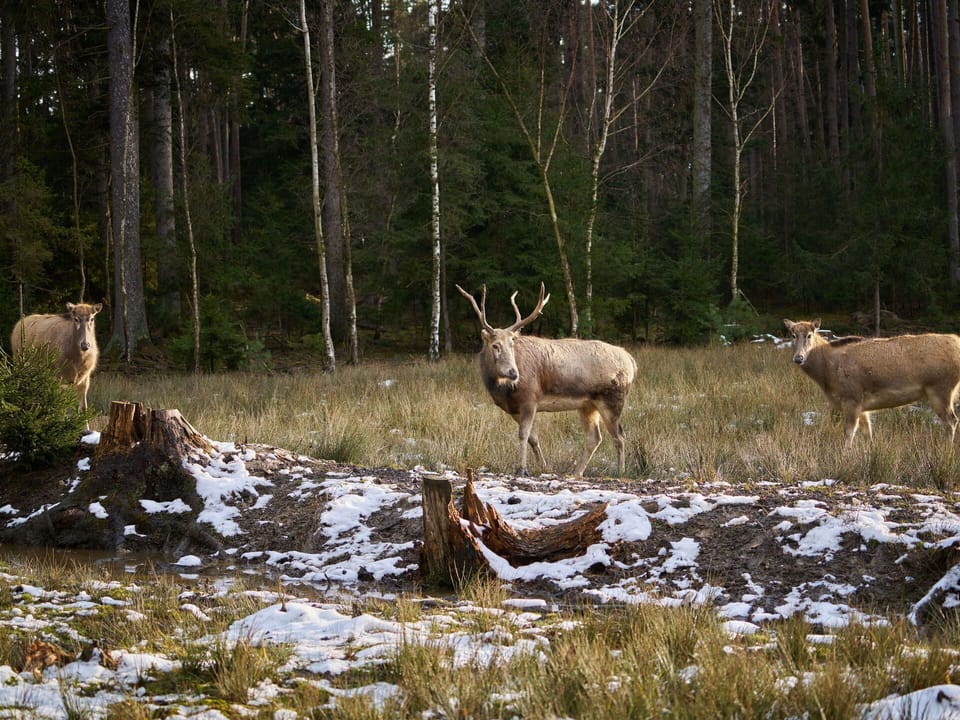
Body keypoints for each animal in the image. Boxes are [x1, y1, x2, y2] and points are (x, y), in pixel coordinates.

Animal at [457, 283, 637, 477]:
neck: (503, 390)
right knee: (594, 438)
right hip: (587, 405)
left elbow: (523, 434)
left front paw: (521, 469)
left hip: (612, 398)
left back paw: (620, 471)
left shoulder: (530, 398)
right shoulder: (514, 409)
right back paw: (576, 472)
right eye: (495, 345)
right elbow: (533, 438)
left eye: (512, 344)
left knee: (619, 436)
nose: (514, 373)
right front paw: (544, 467)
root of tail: (631, 361)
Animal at [784, 318, 960, 447]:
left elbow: (849, 433)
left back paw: (947, 449)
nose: (798, 358)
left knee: (951, 420)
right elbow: (868, 433)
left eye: (809, 335)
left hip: (941, 388)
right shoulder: (862, 405)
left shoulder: (852, 397)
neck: (827, 375)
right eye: (792, 335)